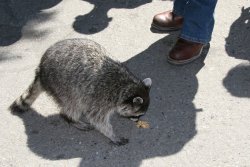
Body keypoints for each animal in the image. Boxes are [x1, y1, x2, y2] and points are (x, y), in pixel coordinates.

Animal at [9, 38, 151, 145]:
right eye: (137, 114)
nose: (137, 121)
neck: (125, 86)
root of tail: (41, 69)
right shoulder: (101, 98)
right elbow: (97, 119)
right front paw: (112, 135)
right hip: (62, 86)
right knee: (73, 106)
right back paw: (72, 119)